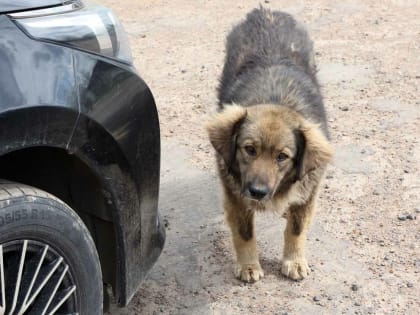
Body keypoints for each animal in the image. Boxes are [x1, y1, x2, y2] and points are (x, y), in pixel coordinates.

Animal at [205, 8, 334, 284]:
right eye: (249, 149)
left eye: (282, 157)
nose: (257, 192)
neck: (275, 98)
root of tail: (265, 11)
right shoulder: (235, 196)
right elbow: (244, 234)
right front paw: (249, 265)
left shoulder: (309, 191)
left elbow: (296, 229)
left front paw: (294, 261)